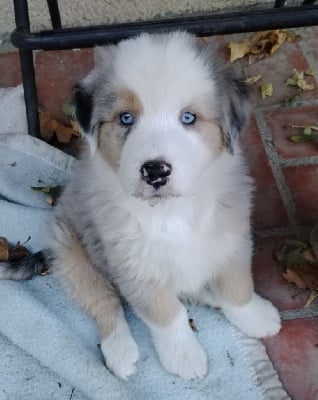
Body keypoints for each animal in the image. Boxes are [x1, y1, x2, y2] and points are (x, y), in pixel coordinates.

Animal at [2, 31, 282, 382]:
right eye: (126, 118)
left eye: (188, 118)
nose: (155, 171)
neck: (170, 212)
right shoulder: (135, 265)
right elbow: (168, 316)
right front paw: (185, 359)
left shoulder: (232, 239)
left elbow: (237, 284)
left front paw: (256, 317)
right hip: (75, 257)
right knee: (104, 304)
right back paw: (121, 353)